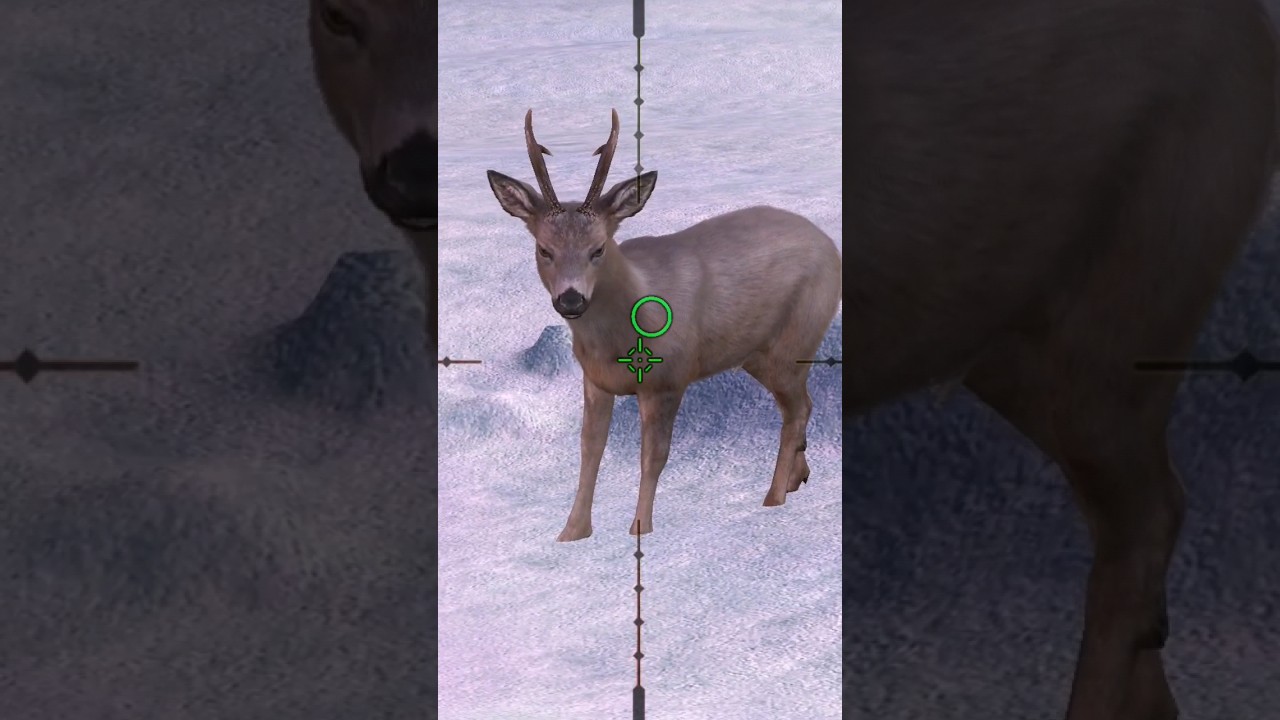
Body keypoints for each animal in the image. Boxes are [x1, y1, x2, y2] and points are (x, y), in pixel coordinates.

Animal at [486, 109, 843, 540]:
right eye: (544, 249)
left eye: (598, 248)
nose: (570, 299)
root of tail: (829, 242)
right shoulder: (595, 381)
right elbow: (590, 449)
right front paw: (572, 532)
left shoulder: (667, 380)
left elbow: (653, 456)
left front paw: (640, 528)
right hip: (759, 356)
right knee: (803, 403)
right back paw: (796, 478)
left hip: (794, 340)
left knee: (796, 409)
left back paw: (773, 498)